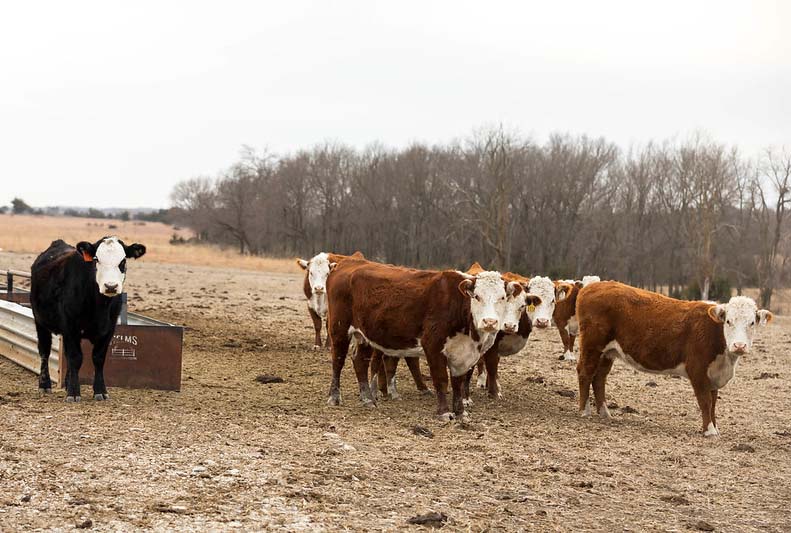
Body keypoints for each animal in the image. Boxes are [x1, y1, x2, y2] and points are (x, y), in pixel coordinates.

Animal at [31, 235, 148, 402]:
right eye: (96, 259)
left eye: (123, 261)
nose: (110, 286)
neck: (99, 306)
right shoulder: (70, 327)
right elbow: (75, 358)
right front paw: (73, 393)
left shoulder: (109, 329)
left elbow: (98, 358)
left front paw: (100, 391)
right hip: (40, 321)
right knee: (44, 352)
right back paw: (44, 385)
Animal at [328, 258, 532, 420]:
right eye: (477, 296)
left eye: (502, 297)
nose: (490, 321)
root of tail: (347, 263)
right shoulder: (433, 345)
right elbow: (441, 379)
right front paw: (444, 412)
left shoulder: (463, 354)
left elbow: (458, 382)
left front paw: (460, 412)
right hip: (339, 329)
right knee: (338, 361)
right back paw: (335, 397)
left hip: (364, 335)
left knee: (360, 361)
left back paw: (367, 398)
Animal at [576, 280, 772, 434]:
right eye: (728, 321)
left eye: (752, 323)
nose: (739, 346)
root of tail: (592, 286)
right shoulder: (698, 371)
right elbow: (705, 401)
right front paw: (709, 431)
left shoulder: (713, 375)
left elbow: (713, 402)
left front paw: (714, 427)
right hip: (592, 346)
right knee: (585, 372)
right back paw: (584, 411)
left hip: (607, 353)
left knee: (599, 378)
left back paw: (604, 412)